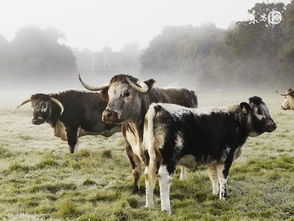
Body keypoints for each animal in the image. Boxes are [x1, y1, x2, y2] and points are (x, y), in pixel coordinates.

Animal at [142, 96, 276, 212]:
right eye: (258, 111)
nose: (273, 125)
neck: (236, 120)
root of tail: (159, 106)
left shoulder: (213, 158)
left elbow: (213, 176)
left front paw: (215, 193)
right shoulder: (227, 157)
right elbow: (223, 178)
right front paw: (223, 197)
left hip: (150, 158)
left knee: (149, 176)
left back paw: (149, 205)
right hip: (169, 158)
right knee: (164, 178)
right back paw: (166, 209)